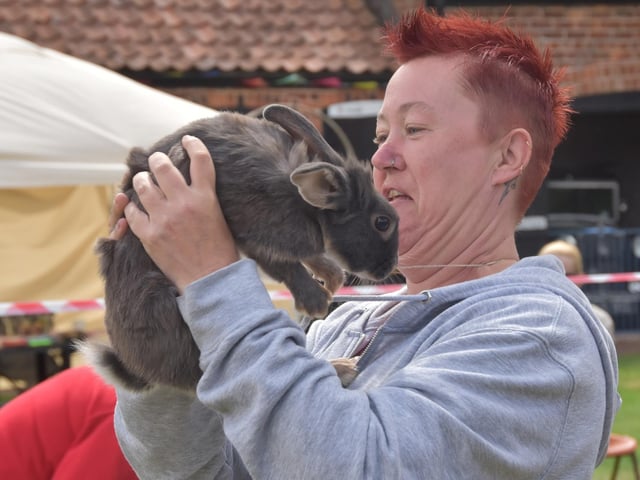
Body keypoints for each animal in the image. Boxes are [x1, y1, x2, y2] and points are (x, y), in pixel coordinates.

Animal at [81, 104, 398, 392]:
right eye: (382, 222)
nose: (388, 268)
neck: (306, 203)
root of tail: (138, 370)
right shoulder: (253, 228)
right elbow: (288, 267)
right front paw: (317, 301)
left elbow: (312, 259)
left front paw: (332, 281)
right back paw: (341, 368)